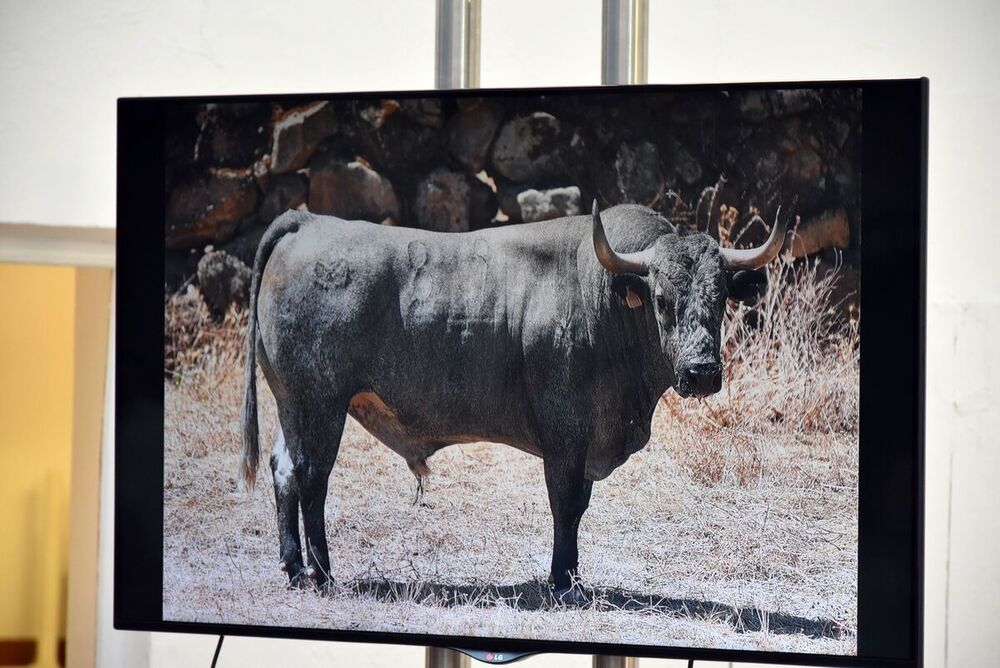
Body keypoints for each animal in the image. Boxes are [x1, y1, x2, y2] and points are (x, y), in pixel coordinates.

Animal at [238, 202, 784, 600]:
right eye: (662, 300)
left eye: (720, 298)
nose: (701, 371)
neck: (599, 296)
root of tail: (308, 221)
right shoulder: (565, 436)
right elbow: (566, 505)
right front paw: (562, 581)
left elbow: (578, 507)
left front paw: (572, 576)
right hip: (320, 404)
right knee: (312, 478)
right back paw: (322, 574)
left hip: (293, 406)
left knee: (285, 470)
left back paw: (294, 567)